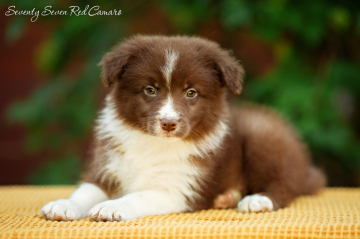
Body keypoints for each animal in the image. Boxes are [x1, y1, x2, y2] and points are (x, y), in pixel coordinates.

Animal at [40, 34, 326, 221]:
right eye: (150, 90)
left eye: (191, 93)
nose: (169, 123)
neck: (154, 144)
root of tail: (306, 166)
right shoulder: (108, 166)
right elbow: (86, 190)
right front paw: (63, 205)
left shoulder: (180, 188)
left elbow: (139, 196)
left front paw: (111, 207)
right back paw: (226, 197)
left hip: (263, 135)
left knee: (286, 185)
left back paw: (257, 200)